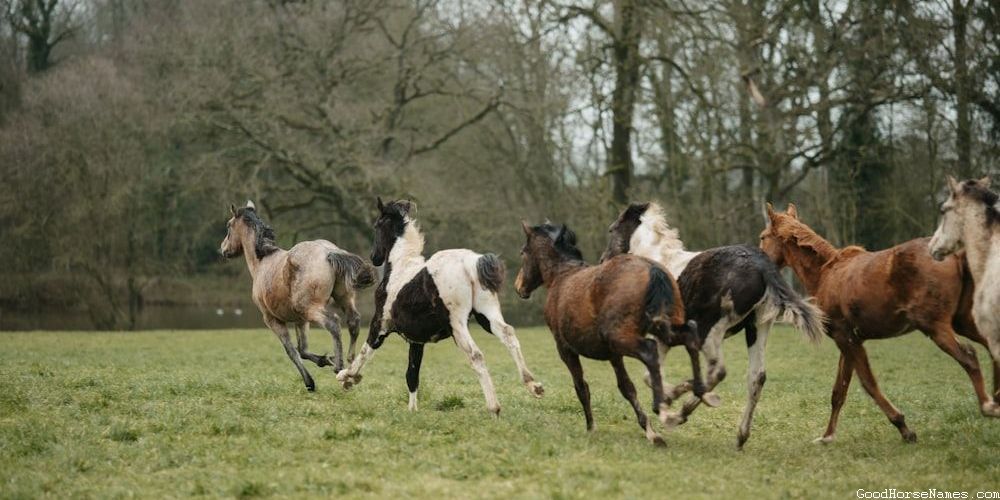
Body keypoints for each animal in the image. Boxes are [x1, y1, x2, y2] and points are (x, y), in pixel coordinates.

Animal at [220, 200, 375, 392]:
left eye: (228, 225)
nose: (223, 249)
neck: (262, 262)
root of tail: (328, 252)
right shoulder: (300, 320)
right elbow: (303, 349)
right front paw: (325, 359)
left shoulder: (272, 319)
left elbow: (292, 351)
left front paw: (310, 382)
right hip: (343, 298)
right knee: (354, 322)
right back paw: (350, 366)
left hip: (311, 308)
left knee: (333, 323)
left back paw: (340, 367)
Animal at [336, 198, 543, 415]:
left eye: (377, 225)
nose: (374, 257)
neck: (400, 268)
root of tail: (471, 263)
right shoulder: (416, 340)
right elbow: (412, 376)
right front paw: (412, 411)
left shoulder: (380, 326)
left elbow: (364, 352)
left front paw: (346, 378)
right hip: (487, 315)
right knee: (508, 335)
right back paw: (534, 385)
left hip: (457, 325)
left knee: (476, 354)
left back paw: (494, 407)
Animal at [514, 220, 717, 446]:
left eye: (523, 252)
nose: (519, 287)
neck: (561, 276)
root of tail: (653, 269)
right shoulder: (614, 355)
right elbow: (627, 388)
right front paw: (650, 431)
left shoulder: (566, 350)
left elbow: (582, 387)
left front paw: (591, 428)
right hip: (662, 328)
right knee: (690, 336)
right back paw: (701, 391)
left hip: (623, 337)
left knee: (650, 351)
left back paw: (663, 407)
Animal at [601, 202, 825, 449]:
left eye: (611, 229)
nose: (603, 261)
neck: (657, 258)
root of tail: (763, 266)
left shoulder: (663, 336)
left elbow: (649, 376)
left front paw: (667, 402)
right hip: (759, 326)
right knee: (756, 376)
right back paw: (740, 435)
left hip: (709, 328)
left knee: (718, 370)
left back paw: (684, 411)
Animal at [760, 203, 1000, 444]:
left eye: (763, 237)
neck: (824, 273)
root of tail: (956, 256)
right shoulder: (849, 340)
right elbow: (839, 390)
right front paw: (827, 436)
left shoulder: (846, 338)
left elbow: (868, 383)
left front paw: (904, 428)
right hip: (963, 321)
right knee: (991, 347)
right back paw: (996, 400)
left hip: (935, 325)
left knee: (969, 356)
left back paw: (988, 406)